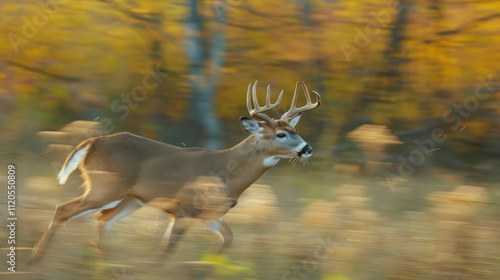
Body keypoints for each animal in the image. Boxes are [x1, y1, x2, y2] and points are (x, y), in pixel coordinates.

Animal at [27, 81, 322, 264]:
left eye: (296, 130)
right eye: (281, 134)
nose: (307, 148)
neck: (228, 170)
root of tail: (92, 142)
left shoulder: (210, 214)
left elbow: (228, 239)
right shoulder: (184, 209)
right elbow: (166, 250)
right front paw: (154, 268)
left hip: (130, 198)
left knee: (103, 219)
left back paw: (104, 264)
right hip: (106, 187)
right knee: (64, 209)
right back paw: (35, 260)